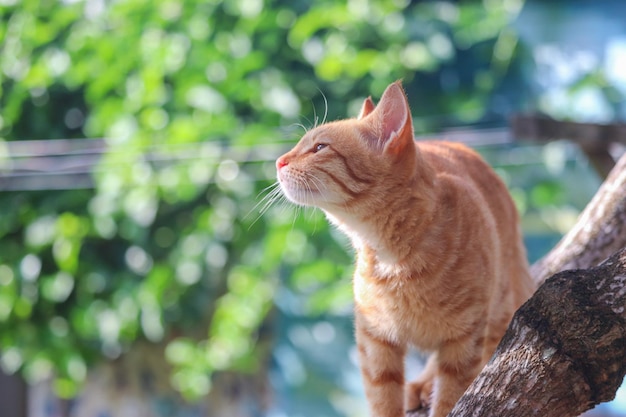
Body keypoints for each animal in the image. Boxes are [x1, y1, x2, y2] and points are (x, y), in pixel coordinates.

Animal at [276, 81, 532, 416]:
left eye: (320, 148)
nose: (279, 161)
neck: (395, 259)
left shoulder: (465, 339)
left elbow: (452, 398)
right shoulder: (375, 341)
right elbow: (383, 398)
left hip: (500, 307)